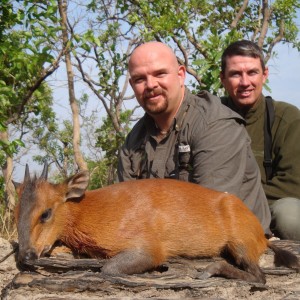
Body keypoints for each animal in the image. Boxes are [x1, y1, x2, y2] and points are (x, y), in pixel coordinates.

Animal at [14, 164, 300, 284]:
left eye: (46, 213)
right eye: (16, 211)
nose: (25, 255)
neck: (88, 211)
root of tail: (261, 235)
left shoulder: (149, 248)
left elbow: (108, 268)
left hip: (240, 243)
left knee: (260, 277)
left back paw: (209, 270)